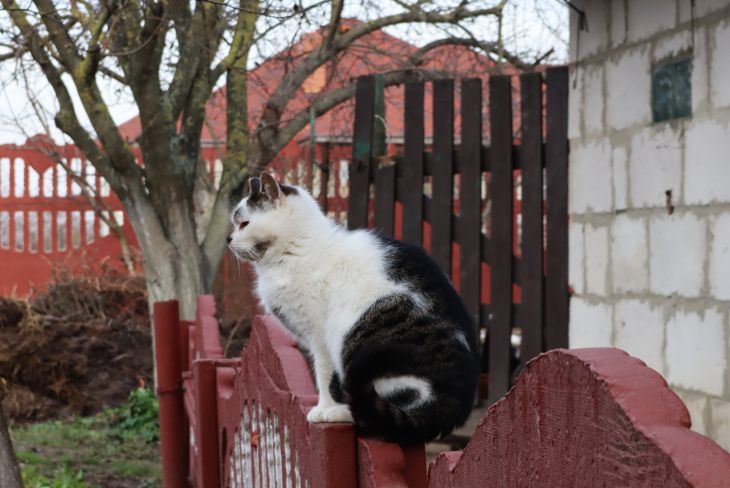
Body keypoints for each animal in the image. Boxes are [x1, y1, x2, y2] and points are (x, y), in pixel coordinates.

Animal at [228, 173, 478, 444]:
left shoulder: (320, 337)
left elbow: (324, 376)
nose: (228, 239)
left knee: (375, 413)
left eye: (244, 223)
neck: (297, 250)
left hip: (354, 343)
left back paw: (341, 412)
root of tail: (453, 408)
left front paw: (324, 408)